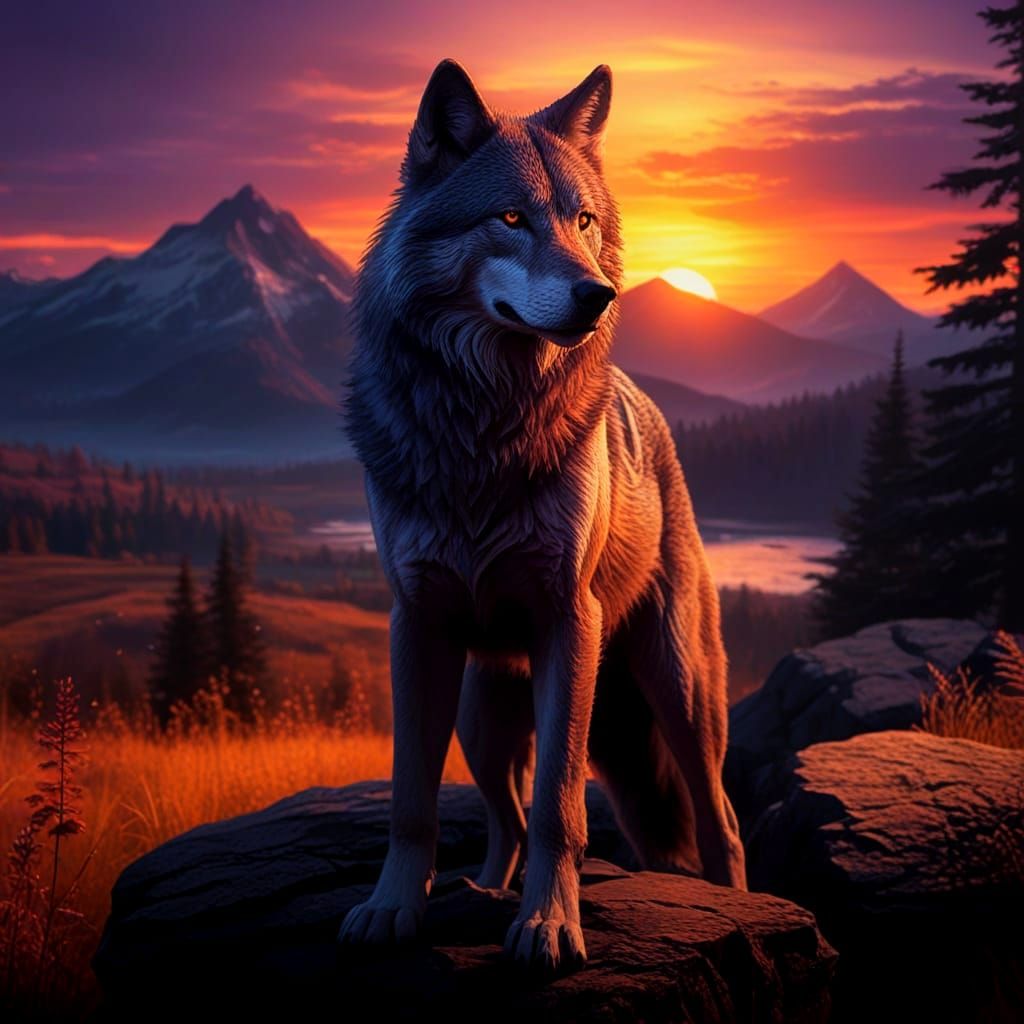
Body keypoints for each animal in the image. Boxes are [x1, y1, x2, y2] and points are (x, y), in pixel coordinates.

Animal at [338, 59, 747, 974]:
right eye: (512, 218)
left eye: (583, 219)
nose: (599, 295)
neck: (485, 425)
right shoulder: (415, 624)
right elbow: (411, 799)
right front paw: (392, 909)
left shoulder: (569, 620)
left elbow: (565, 806)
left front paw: (550, 928)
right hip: (481, 717)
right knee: (507, 822)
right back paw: (483, 889)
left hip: (679, 687)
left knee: (721, 823)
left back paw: (739, 903)